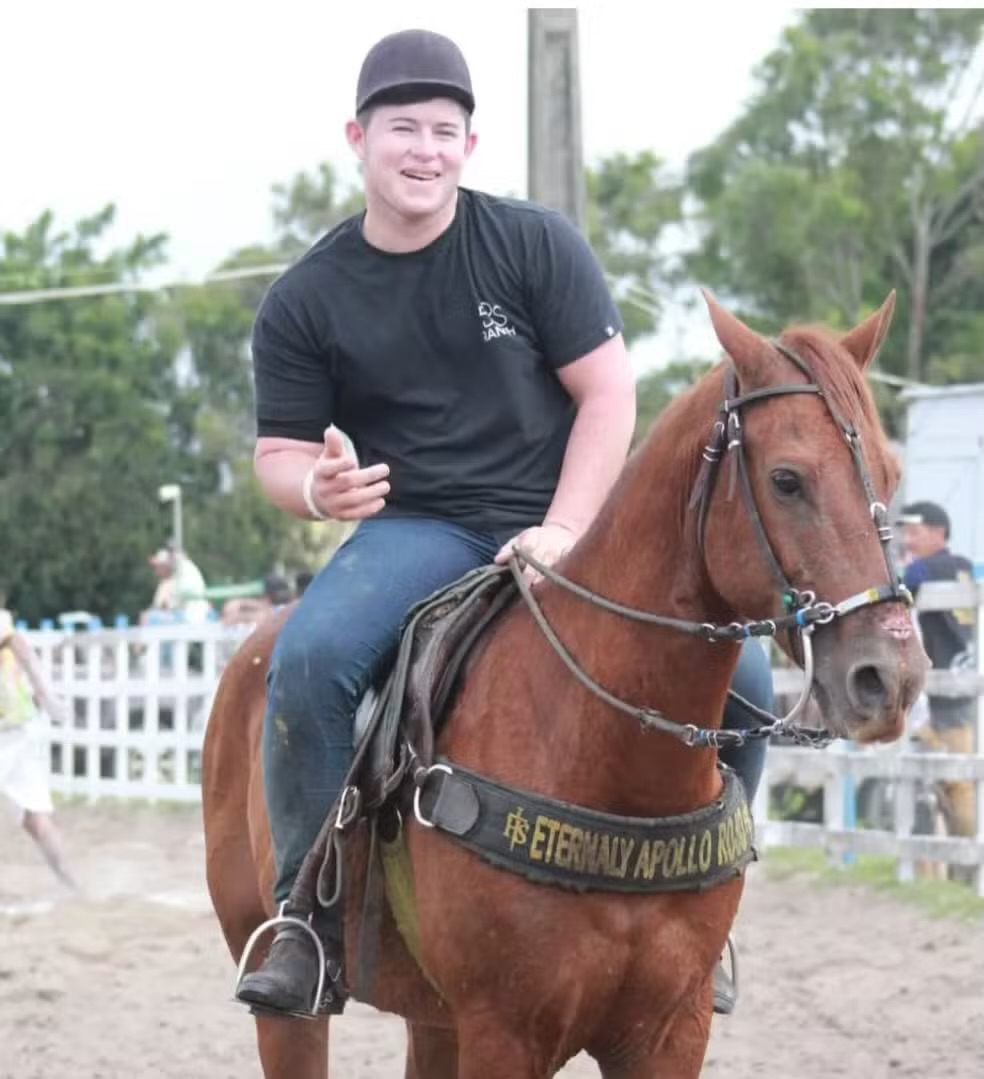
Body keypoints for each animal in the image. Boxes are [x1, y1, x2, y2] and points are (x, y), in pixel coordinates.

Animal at [203, 291, 927, 1074]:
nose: (888, 677)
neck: (607, 761)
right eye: (787, 480)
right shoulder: (506, 1032)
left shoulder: (670, 1031)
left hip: (434, 1019)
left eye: (890, 476)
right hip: (288, 1003)